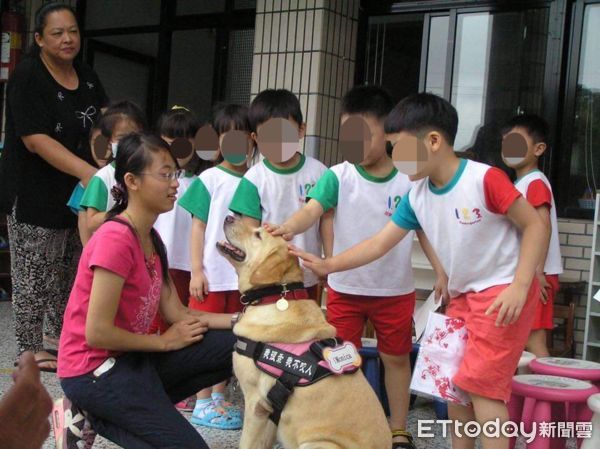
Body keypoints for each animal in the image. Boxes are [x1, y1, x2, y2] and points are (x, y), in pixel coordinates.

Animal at [218, 215, 392, 446]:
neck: (274, 295)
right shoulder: (268, 412)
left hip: (318, 443)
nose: (229, 216)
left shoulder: (255, 404)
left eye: (258, 235)